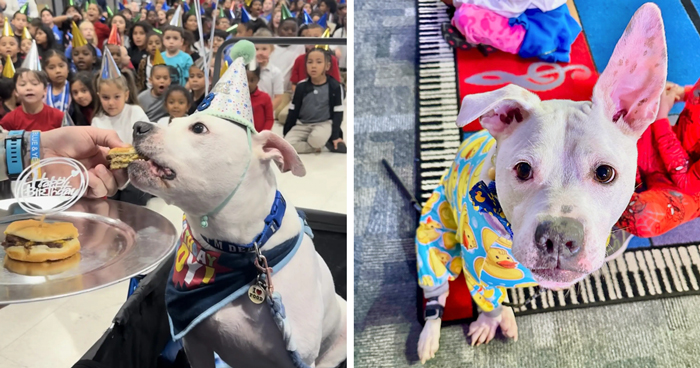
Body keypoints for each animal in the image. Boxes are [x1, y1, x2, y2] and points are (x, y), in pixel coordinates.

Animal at [416, 2, 668, 362]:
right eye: (523, 170)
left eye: (605, 173)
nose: (559, 238)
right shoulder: (477, 274)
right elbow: (488, 303)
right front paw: (490, 320)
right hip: (433, 235)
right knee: (435, 294)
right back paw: (430, 336)